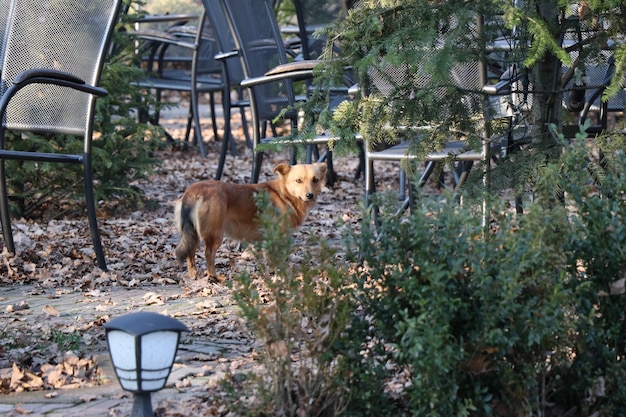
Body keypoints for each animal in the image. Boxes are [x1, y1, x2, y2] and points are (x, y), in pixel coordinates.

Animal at [173, 162, 324, 280]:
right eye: (298, 180)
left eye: (315, 180)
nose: (310, 195)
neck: (284, 194)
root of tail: (192, 191)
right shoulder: (275, 237)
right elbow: (275, 258)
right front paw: (278, 273)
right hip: (215, 234)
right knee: (208, 254)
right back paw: (213, 276)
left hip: (192, 231)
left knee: (190, 251)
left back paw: (193, 274)